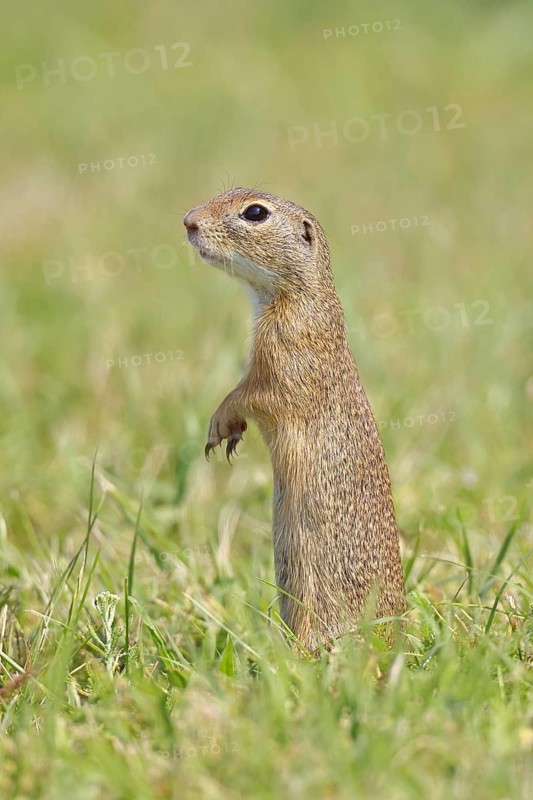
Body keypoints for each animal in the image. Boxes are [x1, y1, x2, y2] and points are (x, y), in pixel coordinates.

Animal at [183, 188, 405, 652]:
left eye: (255, 212)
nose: (188, 221)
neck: (297, 297)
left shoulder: (285, 356)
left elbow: (254, 394)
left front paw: (220, 423)